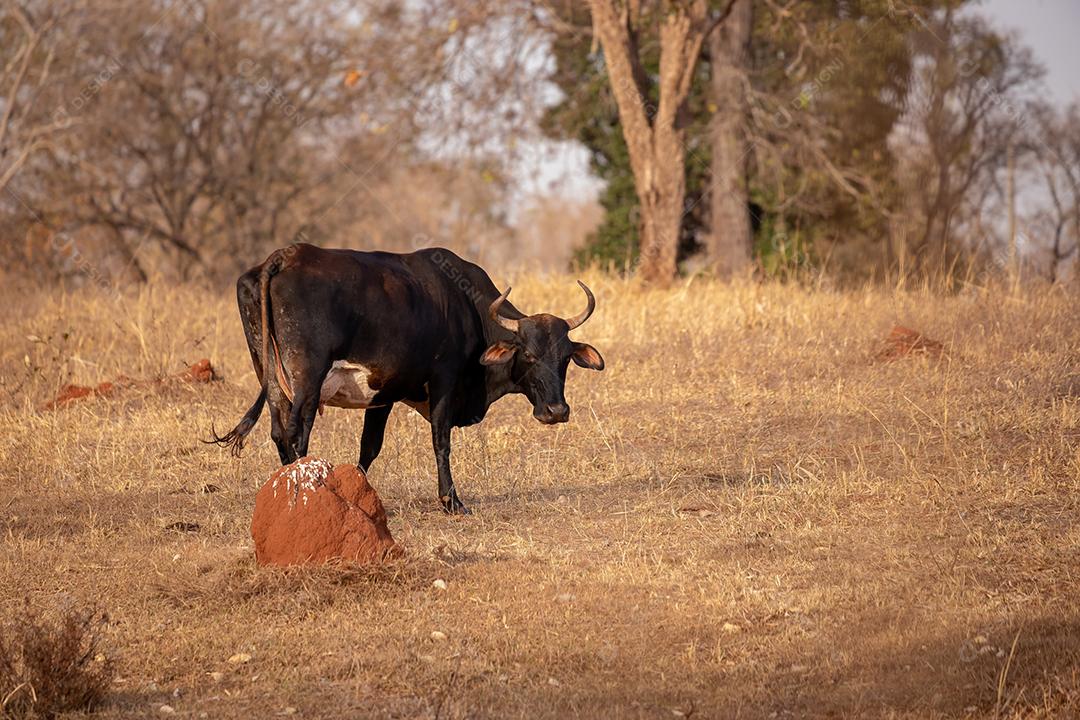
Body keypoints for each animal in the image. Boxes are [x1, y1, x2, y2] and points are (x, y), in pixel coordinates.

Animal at [209, 243, 604, 514]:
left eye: (564, 359)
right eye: (529, 355)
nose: (555, 411)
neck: (466, 306)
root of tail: (284, 256)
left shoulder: (383, 394)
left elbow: (369, 448)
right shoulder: (444, 382)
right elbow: (441, 441)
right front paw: (451, 501)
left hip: (271, 376)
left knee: (278, 431)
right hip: (308, 379)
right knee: (296, 433)